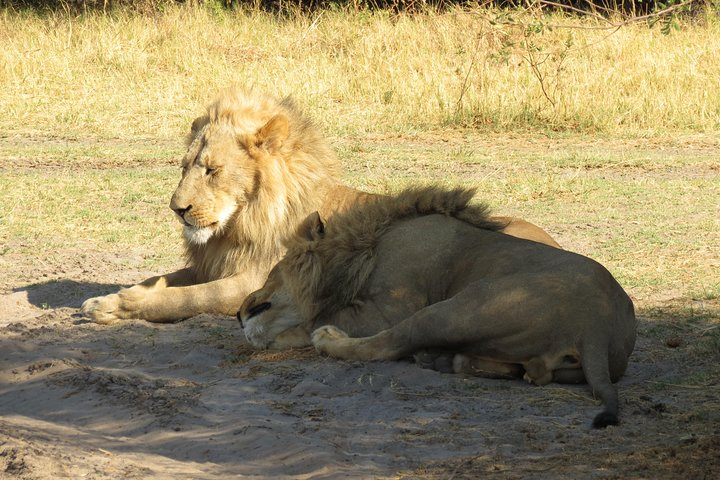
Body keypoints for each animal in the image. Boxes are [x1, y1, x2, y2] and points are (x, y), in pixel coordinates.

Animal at [81, 88, 560, 324]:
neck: (239, 226)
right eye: (184, 167)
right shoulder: (212, 263)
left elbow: (190, 298)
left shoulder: (254, 278)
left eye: (213, 170)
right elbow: (163, 280)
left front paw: (119, 308)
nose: (176, 209)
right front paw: (114, 296)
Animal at [240, 187, 636, 428]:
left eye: (273, 270)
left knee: (386, 345)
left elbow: (314, 319)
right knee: (532, 373)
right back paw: (448, 360)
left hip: (460, 306)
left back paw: (334, 341)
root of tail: (598, 326)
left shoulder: (390, 307)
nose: (241, 311)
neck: (363, 250)